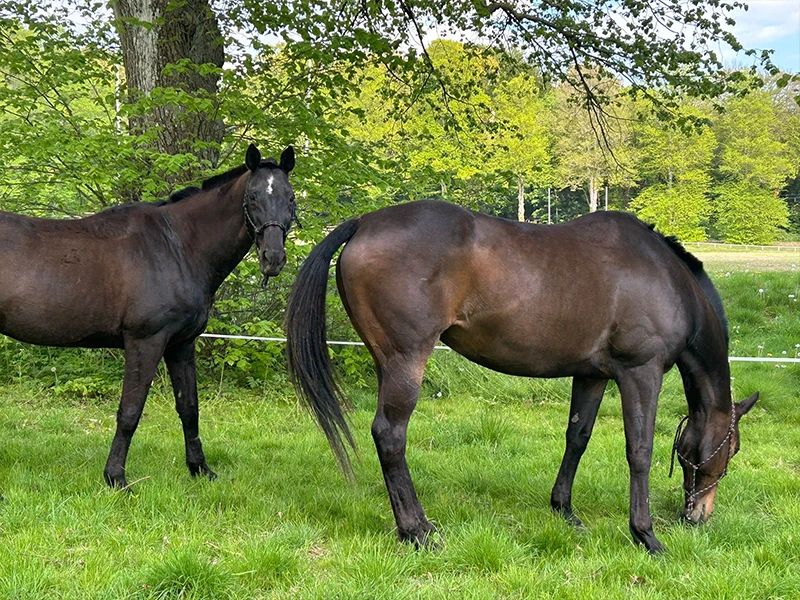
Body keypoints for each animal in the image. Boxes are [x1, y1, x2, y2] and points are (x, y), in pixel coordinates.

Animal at [0, 144, 297, 489]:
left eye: (290, 197)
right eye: (252, 195)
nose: (273, 258)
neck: (177, 247)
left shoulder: (181, 344)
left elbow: (189, 407)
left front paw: (199, 468)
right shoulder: (145, 342)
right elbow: (130, 411)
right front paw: (116, 477)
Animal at [285, 200, 759, 553]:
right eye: (732, 449)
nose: (697, 516)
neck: (667, 278)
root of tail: (364, 223)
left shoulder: (592, 375)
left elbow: (577, 437)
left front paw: (564, 510)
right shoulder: (640, 373)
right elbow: (639, 451)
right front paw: (645, 535)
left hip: (388, 362)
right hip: (406, 361)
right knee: (390, 435)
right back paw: (417, 531)